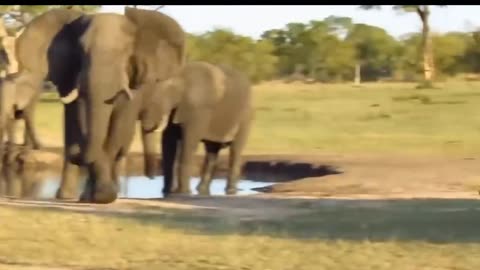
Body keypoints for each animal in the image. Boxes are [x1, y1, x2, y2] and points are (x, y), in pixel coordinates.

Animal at [15, 6, 187, 202]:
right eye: (81, 50)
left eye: (124, 52)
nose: (76, 154)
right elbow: (81, 117)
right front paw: (97, 195)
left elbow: (118, 126)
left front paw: (102, 196)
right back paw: (70, 196)